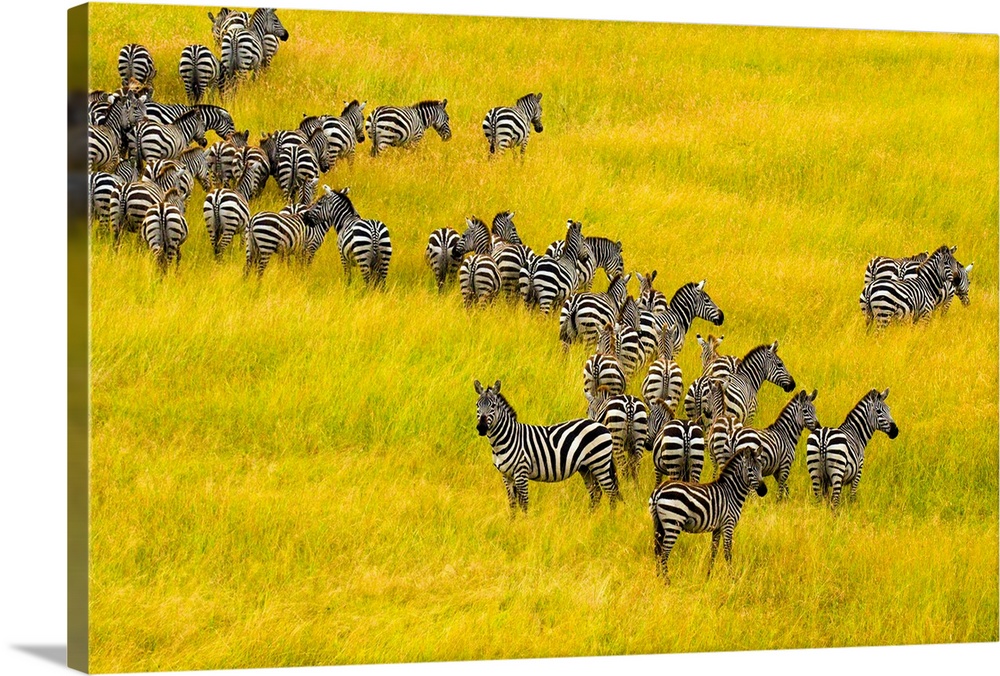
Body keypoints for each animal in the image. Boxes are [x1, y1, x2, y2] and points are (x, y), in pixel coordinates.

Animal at [474, 378, 620, 516]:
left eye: (493, 406)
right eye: (477, 405)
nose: (481, 428)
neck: (507, 438)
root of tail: (601, 426)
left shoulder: (521, 472)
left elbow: (524, 503)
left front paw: (524, 523)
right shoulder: (506, 475)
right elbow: (513, 503)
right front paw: (512, 522)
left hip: (600, 464)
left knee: (611, 492)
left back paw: (610, 520)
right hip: (586, 468)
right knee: (596, 493)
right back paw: (589, 518)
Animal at [648, 444, 764, 588]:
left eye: (761, 468)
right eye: (750, 469)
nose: (764, 491)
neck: (731, 492)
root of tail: (658, 491)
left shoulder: (718, 527)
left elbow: (714, 551)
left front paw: (709, 576)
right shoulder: (728, 524)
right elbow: (727, 552)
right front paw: (732, 579)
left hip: (659, 524)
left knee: (657, 551)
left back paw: (658, 578)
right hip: (673, 523)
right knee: (664, 553)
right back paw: (667, 582)